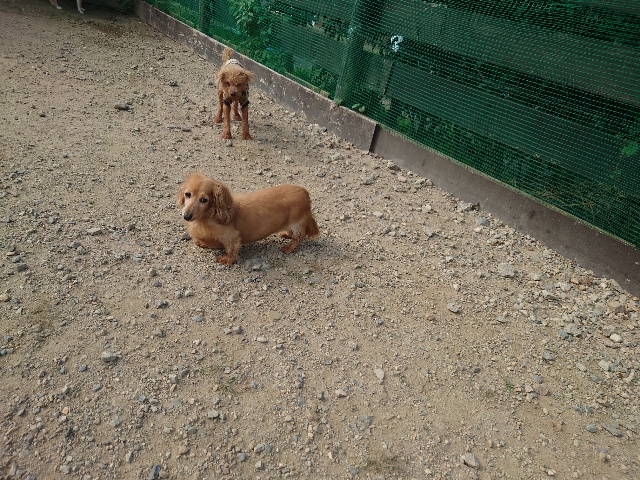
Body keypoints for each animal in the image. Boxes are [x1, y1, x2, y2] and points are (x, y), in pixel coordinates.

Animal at [178, 173, 319, 266]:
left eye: (204, 200)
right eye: (187, 194)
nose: (186, 216)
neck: (208, 216)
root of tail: (305, 193)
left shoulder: (232, 237)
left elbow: (231, 249)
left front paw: (227, 259)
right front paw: (204, 243)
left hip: (297, 222)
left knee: (298, 237)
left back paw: (289, 247)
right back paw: (285, 233)